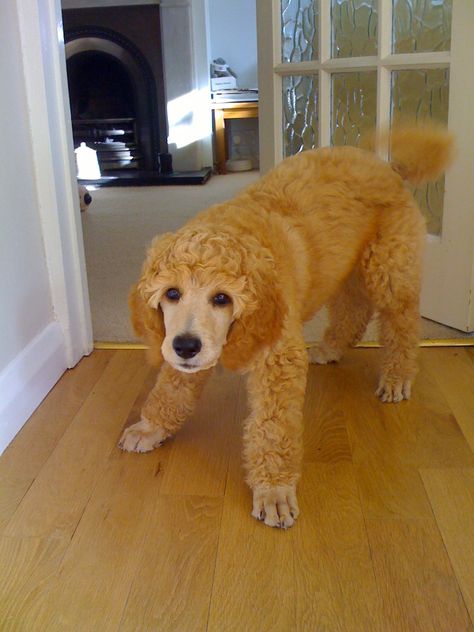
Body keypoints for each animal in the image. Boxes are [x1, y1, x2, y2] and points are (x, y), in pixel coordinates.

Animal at [118, 124, 452, 528]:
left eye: (222, 298)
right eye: (171, 292)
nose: (185, 346)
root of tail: (388, 166)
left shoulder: (277, 359)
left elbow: (273, 429)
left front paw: (274, 490)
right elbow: (172, 388)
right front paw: (152, 427)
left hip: (389, 267)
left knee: (401, 320)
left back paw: (397, 377)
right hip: (345, 269)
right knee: (353, 307)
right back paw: (331, 347)